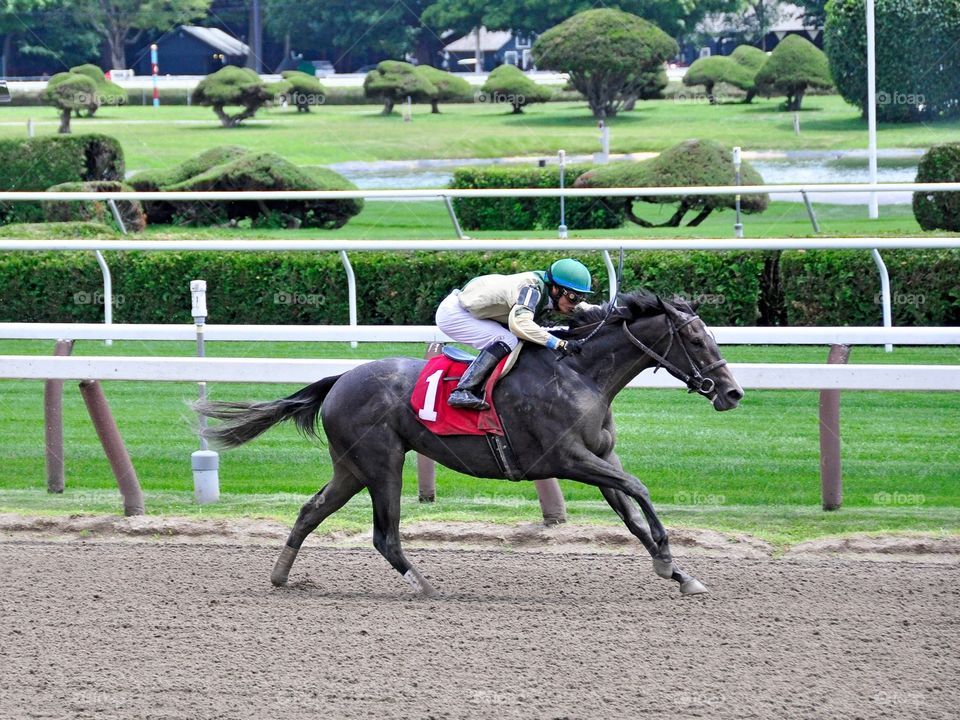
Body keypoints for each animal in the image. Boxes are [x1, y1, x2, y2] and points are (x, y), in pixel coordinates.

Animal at [199, 290, 748, 600]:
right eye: (696, 341)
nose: (732, 393)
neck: (580, 374)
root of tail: (339, 381)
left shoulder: (598, 457)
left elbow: (631, 513)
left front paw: (680, 574)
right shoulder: (567, 458)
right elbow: (640, 488)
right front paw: (667, 559)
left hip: (351, 468)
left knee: (311, 510)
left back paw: (280, 577)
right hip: (381, 463)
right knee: (384, 535)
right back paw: (424, 586)